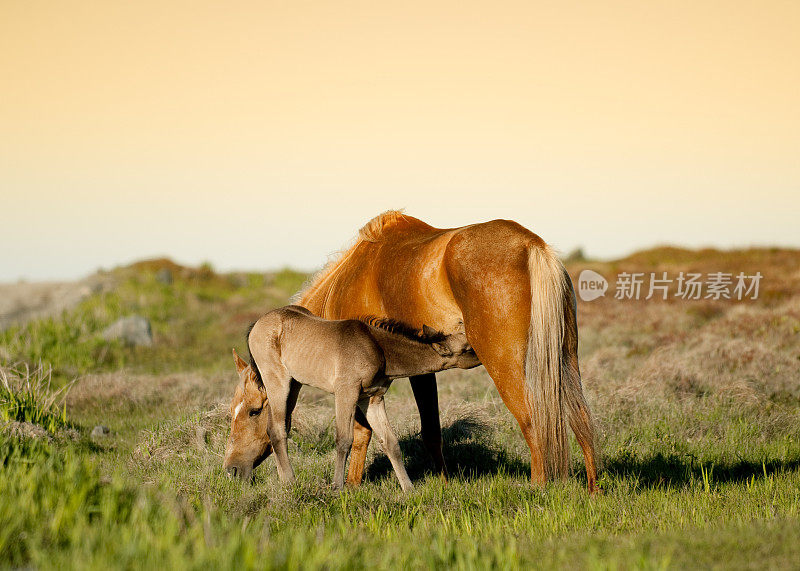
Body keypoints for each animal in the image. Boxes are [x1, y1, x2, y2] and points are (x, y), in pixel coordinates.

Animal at [222, 306, 478, 494]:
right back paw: (289, 481)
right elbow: (344, 439)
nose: (483, 352)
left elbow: (390, 443)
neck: (377, 347)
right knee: (275, 428)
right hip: (278, 382)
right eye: (467, 348)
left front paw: (409, 489)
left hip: (294, 385)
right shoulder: (346, 391)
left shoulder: (373, 398)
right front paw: (337, 486)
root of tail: (257, 325)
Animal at [294, 212, 600, 494]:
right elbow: (431, 430)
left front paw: (351, 485)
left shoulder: (364, 383)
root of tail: (529, 244)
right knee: (582, 419)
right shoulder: (421, 370)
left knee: (531, 419)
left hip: (504, 365)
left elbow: (362, 431)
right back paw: (593, 489)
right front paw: (443, 483)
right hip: (566, 360)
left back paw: (537, 487)